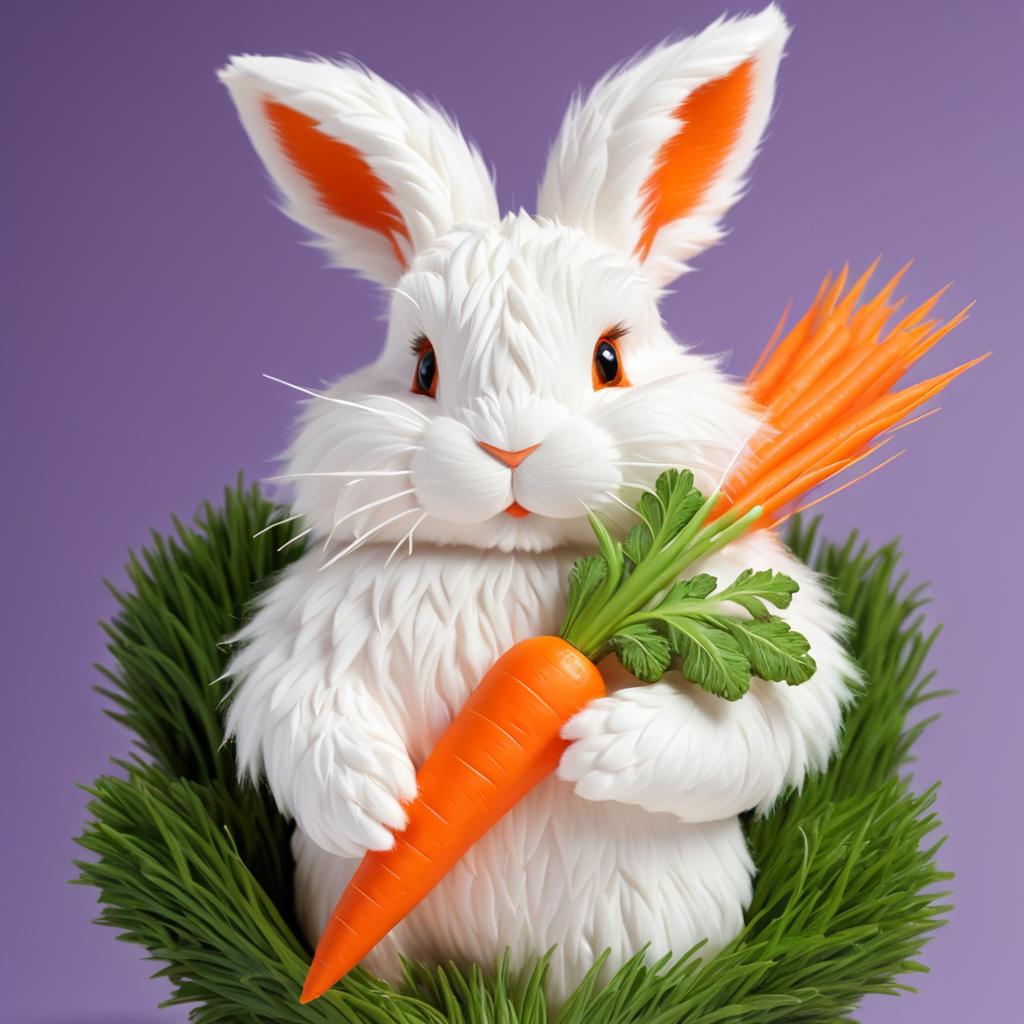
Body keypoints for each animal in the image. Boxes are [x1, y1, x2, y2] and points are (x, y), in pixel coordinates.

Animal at [222, 6, 856, 999]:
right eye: (422, 367)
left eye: (610, 359)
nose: (510, 448)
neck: (518, 561)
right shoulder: (314, 627)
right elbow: (294, 707)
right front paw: (379, 799)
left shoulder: (758, 605)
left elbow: (765, 722)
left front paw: (604, 743)